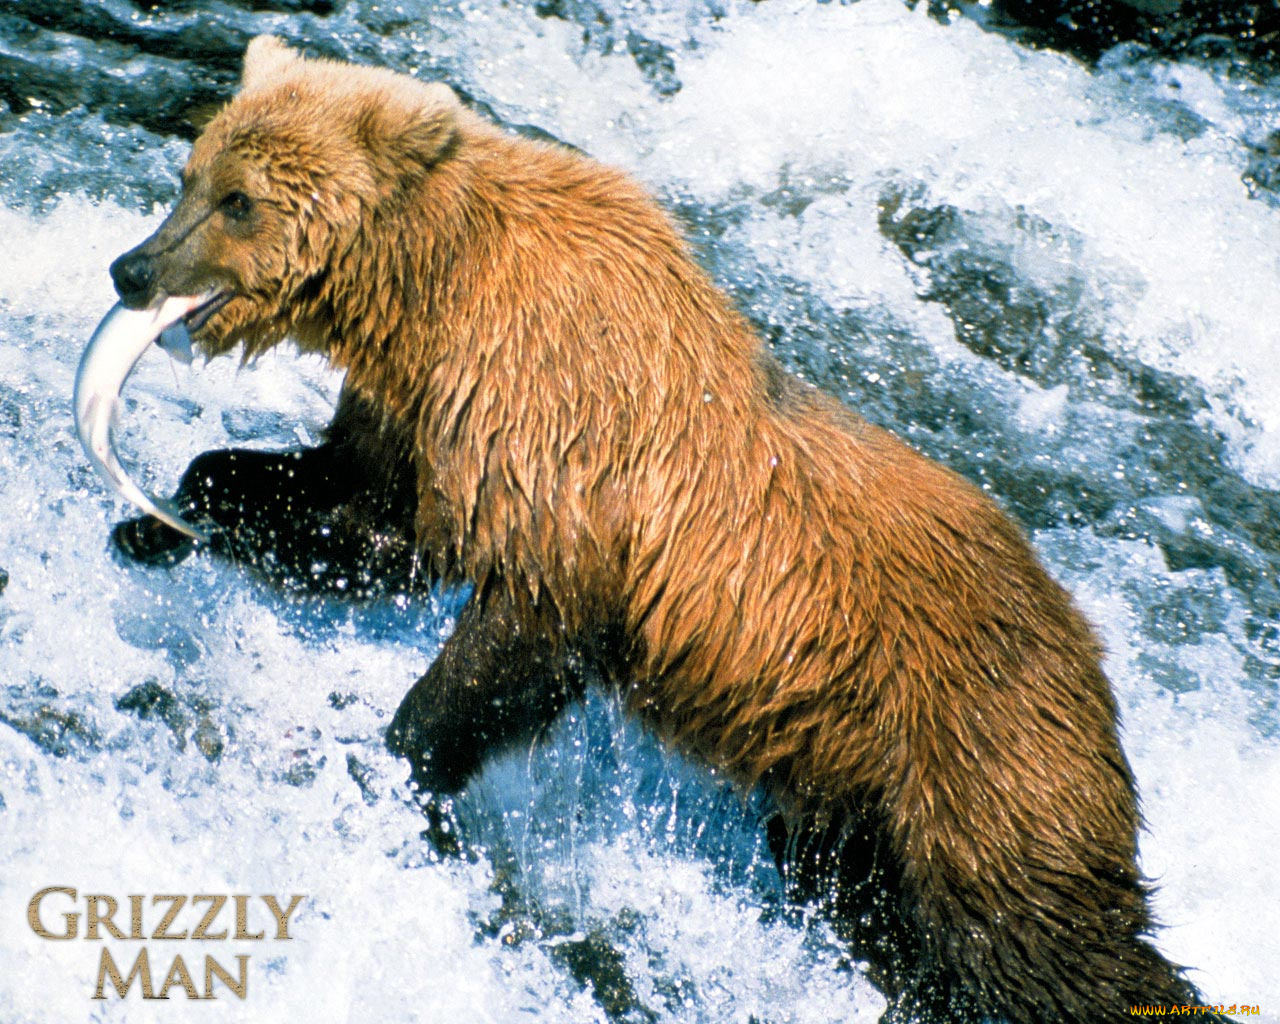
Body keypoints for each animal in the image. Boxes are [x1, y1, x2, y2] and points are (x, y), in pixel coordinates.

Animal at [102, 36, 1229, 1024]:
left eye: (239, 200)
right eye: (190, 174)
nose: (131, 268)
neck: (429, 294)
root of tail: (1091, 646)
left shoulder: (558, 447)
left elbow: (506, 648)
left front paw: (404, 764)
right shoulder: (429, 419)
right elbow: (361, 522)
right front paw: (162, 517)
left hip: (977, 750)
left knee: (1039, 938)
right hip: (857, 803)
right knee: (879, 912)